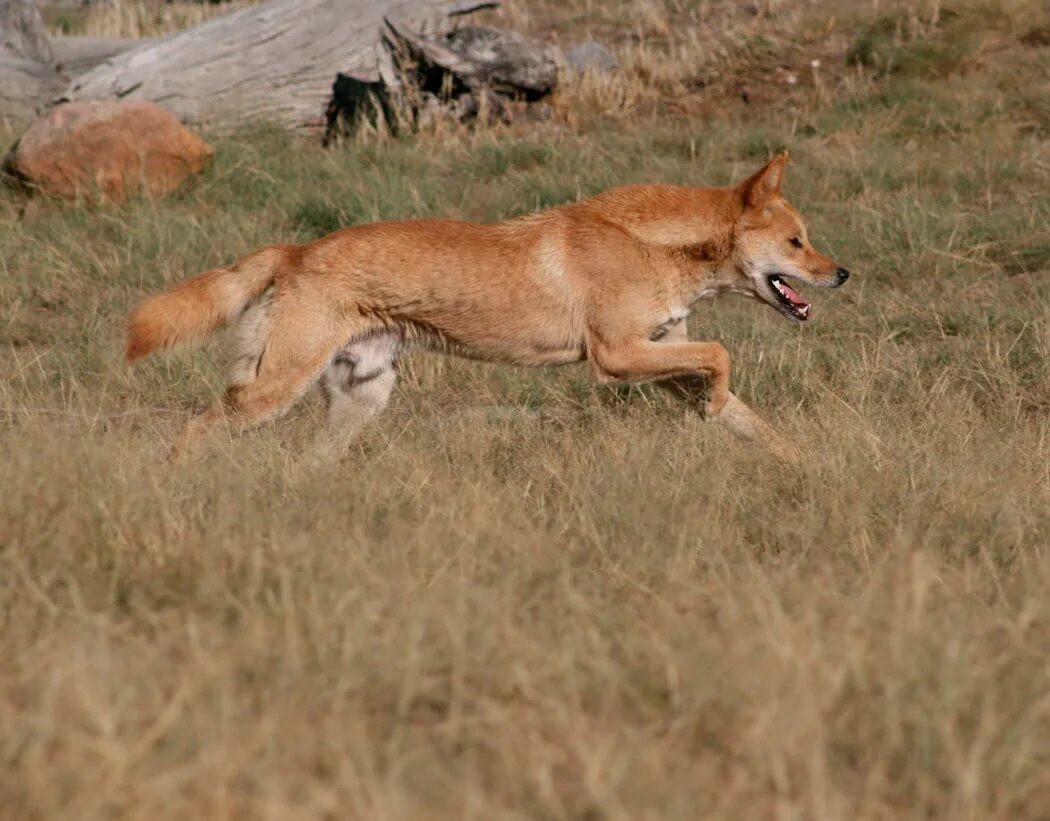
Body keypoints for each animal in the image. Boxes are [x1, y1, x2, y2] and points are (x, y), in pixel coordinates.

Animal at [129, 152, 852, 459]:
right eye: (797, 241)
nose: (842, 272)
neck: (651, 244)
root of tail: (297, 248)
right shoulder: (617, 358)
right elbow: (723, 356)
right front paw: (719, 402)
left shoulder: (661, 354)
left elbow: (748, 416)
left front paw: (805, 467)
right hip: (272, 391)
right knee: (192, 431)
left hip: (362, 396)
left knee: (311, 462)